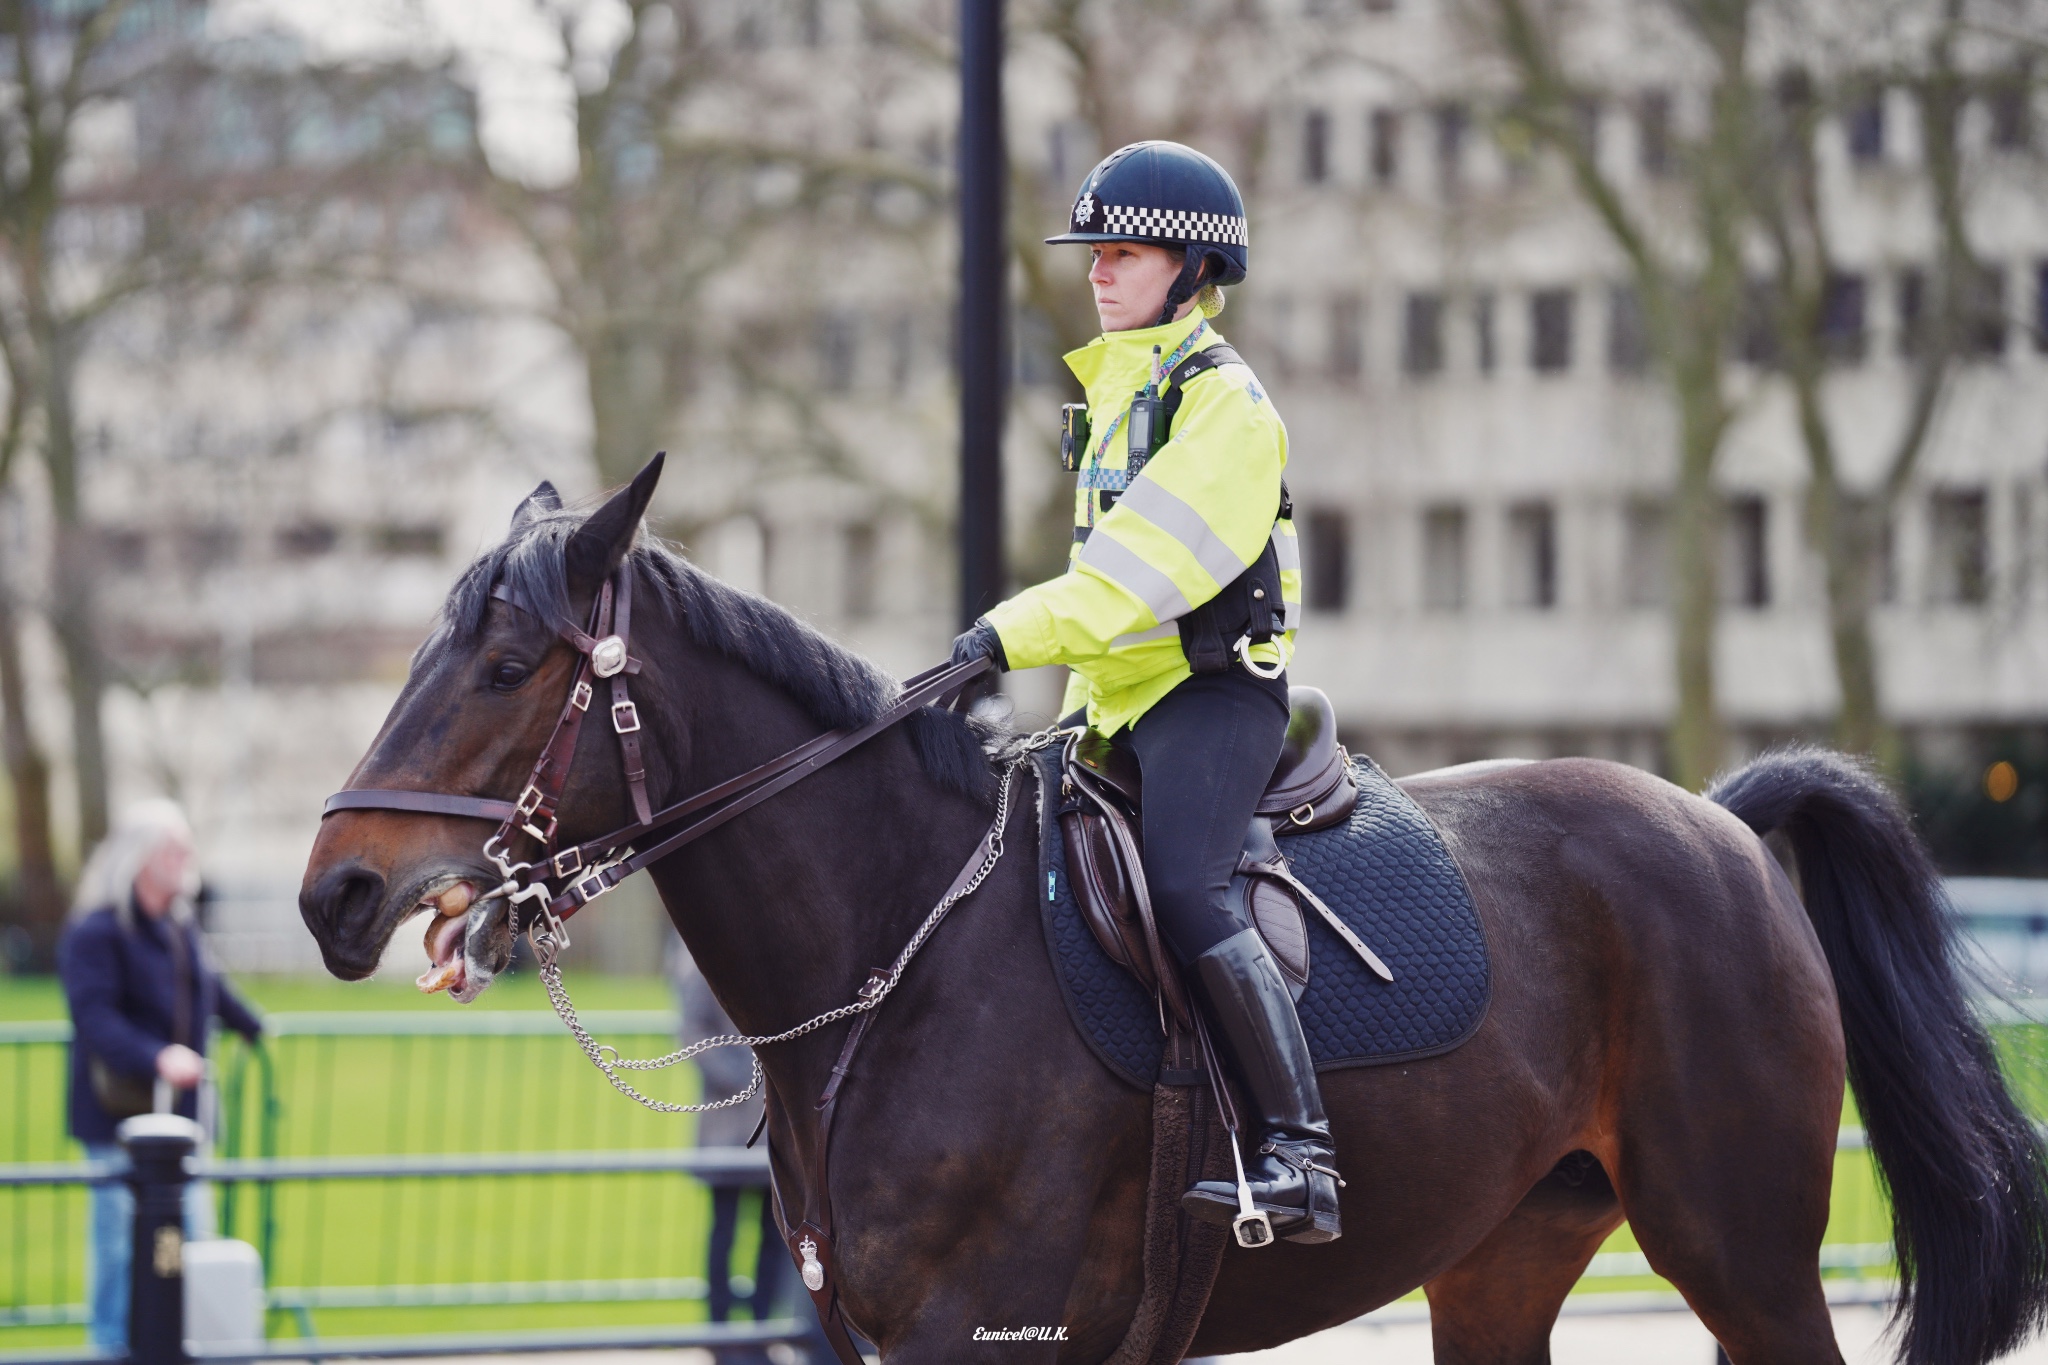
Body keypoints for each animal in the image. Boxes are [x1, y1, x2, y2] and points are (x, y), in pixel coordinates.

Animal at [303, 464, 2048, 1358]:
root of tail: (1722, 825)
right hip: (1501, 1266)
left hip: (1743, 1260)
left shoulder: (986, 1342)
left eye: (506, 665)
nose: (338, 889)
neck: (897, 958)